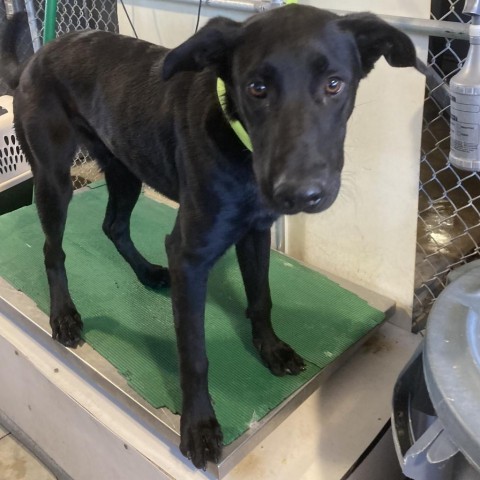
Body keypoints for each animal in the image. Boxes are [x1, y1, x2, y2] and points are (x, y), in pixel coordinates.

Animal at [0, 5, 416, 466]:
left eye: (334, 84)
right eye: (257, 88)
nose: (300, 193)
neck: (238, 141)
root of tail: (37, 57)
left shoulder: (255, 233)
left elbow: (261, 299)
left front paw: (271, 349)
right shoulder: (190, 256)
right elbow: (194, 355)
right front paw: (198, 426)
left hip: (125, 165)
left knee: (113, 226)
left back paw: (147, 273)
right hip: (54, 179)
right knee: (53, 250)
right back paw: (64, 316)